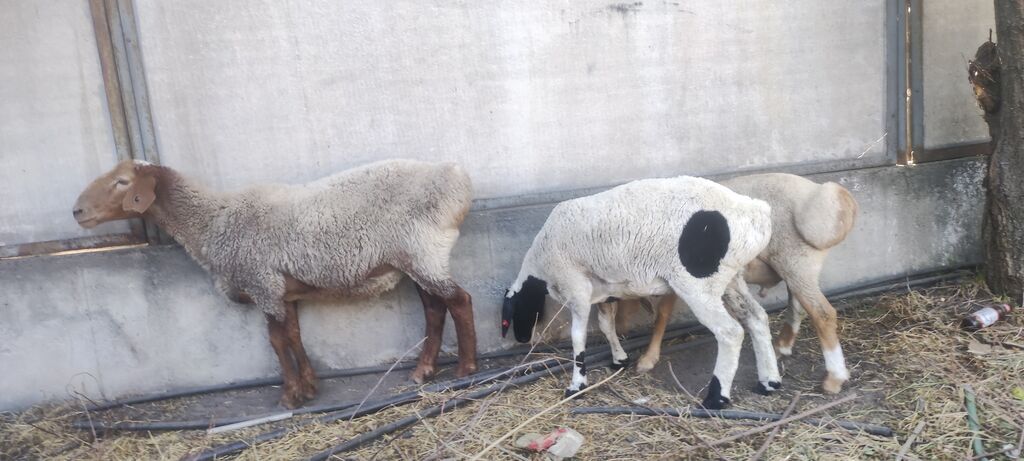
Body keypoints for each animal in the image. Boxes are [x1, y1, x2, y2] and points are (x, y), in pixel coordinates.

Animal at [72, 159, 478, 408]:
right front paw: (310, 387)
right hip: (415, 257)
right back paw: (423, 371)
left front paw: (290, 396)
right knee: (434, 308)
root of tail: (456, 178)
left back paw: (466, 369)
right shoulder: (284, 290)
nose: (77, 211)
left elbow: (276, 340)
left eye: (122, 182)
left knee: (459, 301)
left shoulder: (262, 281)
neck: (212, 221)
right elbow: (295, 335)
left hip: (423, 250)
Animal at [500, 176, 780, 409]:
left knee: (730, 332)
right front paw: (619, 359)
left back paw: (716, 398)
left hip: (698, 284)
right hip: (731, 278)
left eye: (507, 319)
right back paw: (769, 382)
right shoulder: (604, 291)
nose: (521, 339)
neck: (539, 266)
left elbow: (578, 337)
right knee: (757, 318)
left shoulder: (576, 287)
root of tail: (755, 212)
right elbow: (606, 325)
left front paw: (576, 386)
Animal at [629, 173, 859, 394]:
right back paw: (782, 346)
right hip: (794, 267)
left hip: (797, 262)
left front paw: (647, 359)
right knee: (799, 307)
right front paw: (648, 357)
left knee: (823, 313)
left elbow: (662, 314)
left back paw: (834, 378)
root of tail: (818, 192)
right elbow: (663, 314)